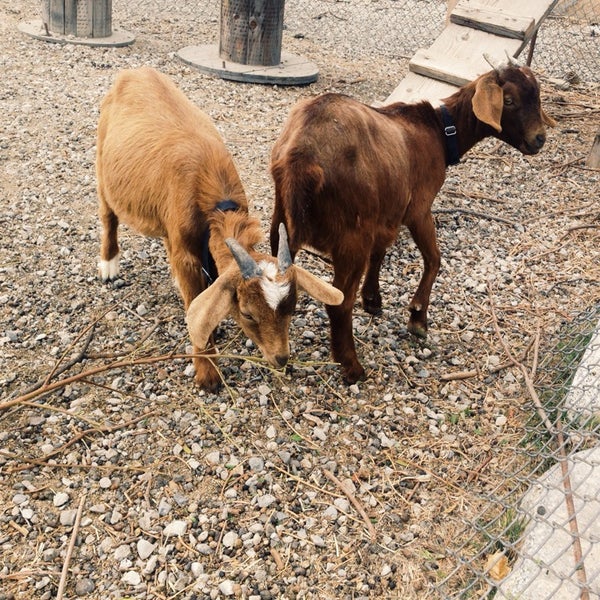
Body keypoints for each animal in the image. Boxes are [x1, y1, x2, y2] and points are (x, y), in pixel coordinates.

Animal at [270, 61, 556, 382]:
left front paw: (373, 300)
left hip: (282, 221)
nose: (539, 139)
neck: (440, 132)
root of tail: (302, 158)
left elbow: (380, 251)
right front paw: (418, 317)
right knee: (340, 303)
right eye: (508, 101)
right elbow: (434, 259)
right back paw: (352, 367)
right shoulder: (418, 208)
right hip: (352, 233)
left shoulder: (386, 213)